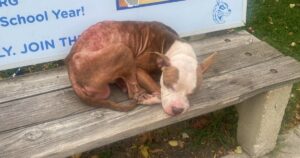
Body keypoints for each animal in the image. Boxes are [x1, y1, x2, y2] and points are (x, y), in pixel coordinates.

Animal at [65, 20, 216, 115]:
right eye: (168, 85)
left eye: (192, 93)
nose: (177, 110)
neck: (174, 47)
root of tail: (70, 68)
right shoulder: (138, 69)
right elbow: (157, 88)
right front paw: (158, 93)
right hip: (123, 50)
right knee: (134, 94)